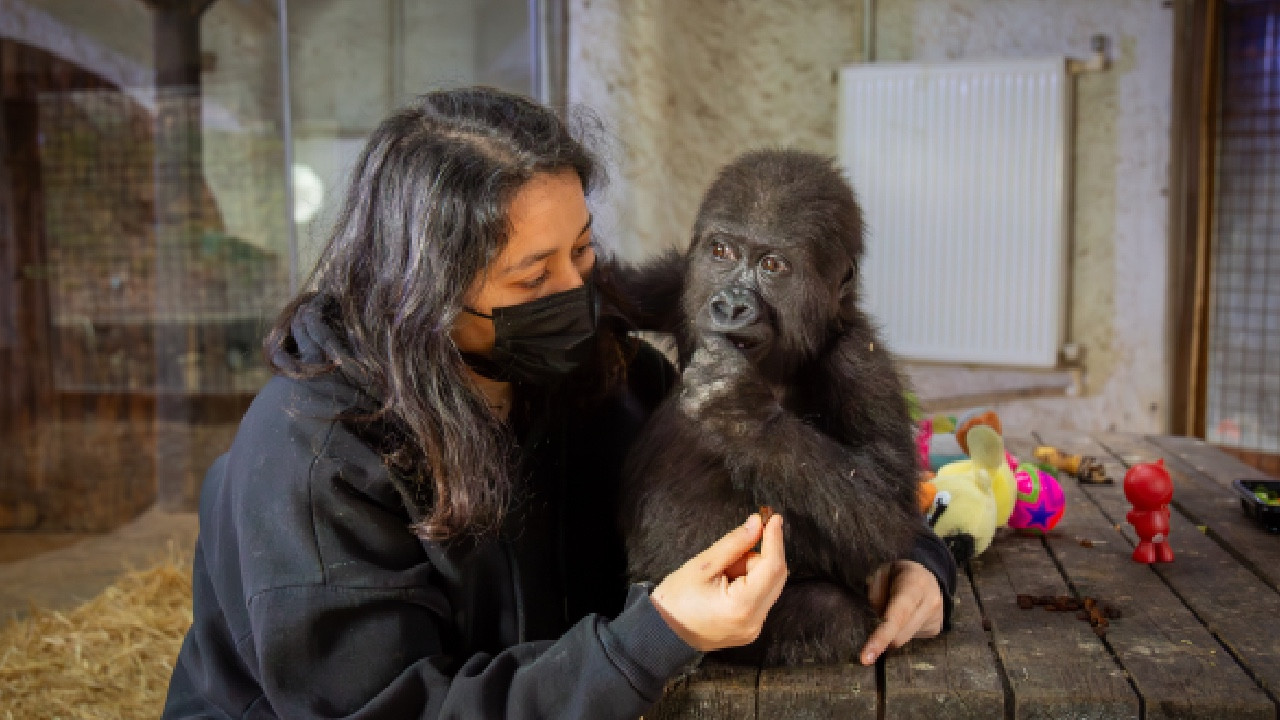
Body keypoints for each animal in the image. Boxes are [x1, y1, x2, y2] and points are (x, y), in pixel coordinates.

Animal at [616, 148, 921, 666]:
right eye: (722, 253)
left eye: (773, 265)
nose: (731, 306)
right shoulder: (682, 287)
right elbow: (620, 289)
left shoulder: (862, 363)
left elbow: (889, 508)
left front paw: (739, 411)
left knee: (832, 611)